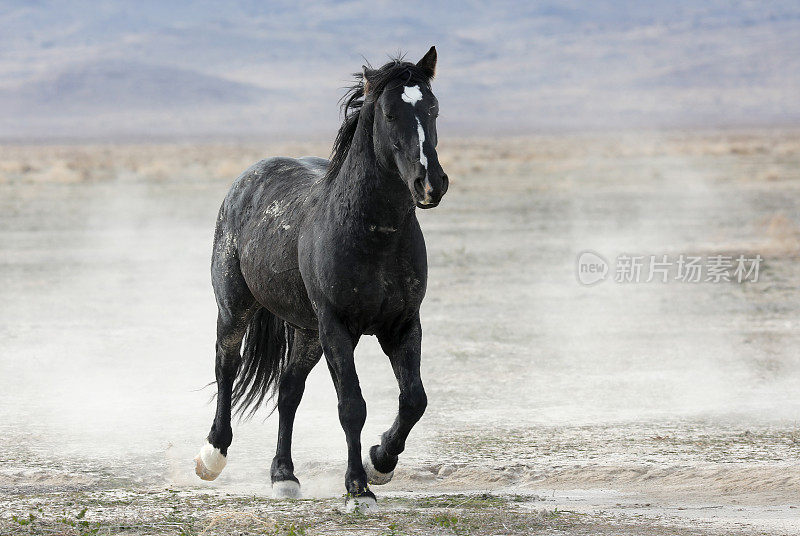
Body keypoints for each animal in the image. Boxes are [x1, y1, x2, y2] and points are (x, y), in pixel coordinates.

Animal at [191, 47, 446, 510]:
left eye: (433, 108)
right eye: (388, 113)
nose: (430, 183)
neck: (373, 235)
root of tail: (247, 179)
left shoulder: (402, 325)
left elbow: (414, 399)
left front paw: (381, 461)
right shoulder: (337, 327)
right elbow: (352, 406)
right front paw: (358, 488)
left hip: (307, 331)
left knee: (289, 389)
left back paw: (284, 476)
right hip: (236, 309)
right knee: (226, 368)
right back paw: (211, 457)